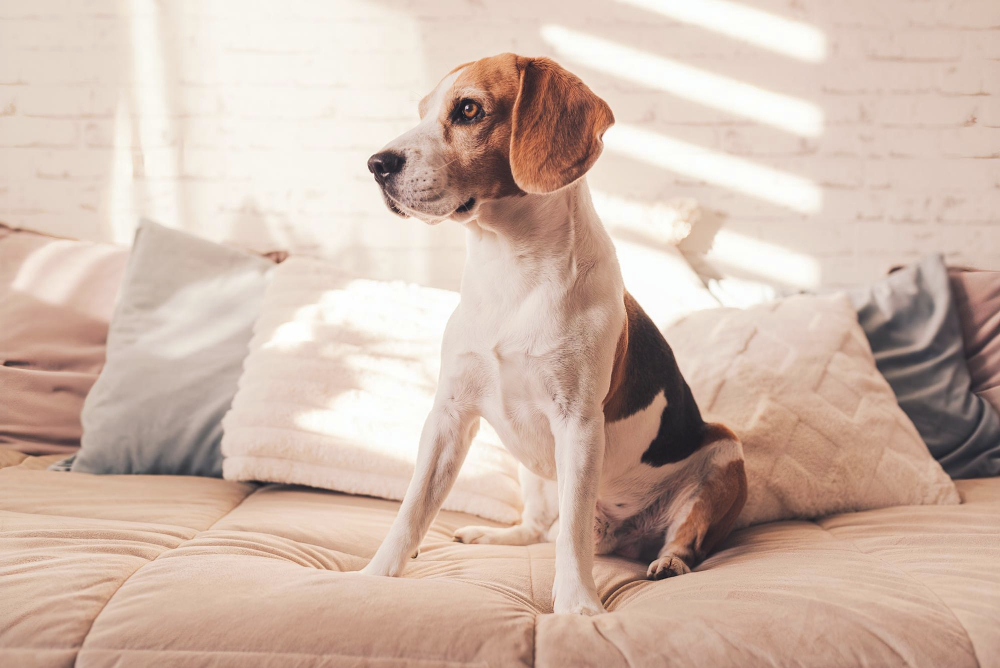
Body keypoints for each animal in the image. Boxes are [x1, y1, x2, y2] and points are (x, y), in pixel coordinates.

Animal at [364, 53, 748, 616]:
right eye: (422, 111)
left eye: (468, 109)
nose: (376, 164)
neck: (510, 268)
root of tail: (621, 534)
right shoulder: (448, 416)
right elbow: (413, 510)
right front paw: (374, 575)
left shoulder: (579, 424)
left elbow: (572, 536)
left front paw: (577, 607)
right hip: (533, 472)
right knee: (538, 528)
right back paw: (497, 536)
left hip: (726, 452)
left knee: (676, 538)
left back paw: (669, 562)